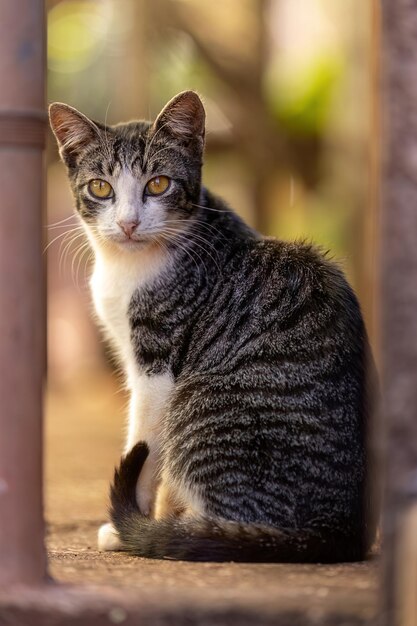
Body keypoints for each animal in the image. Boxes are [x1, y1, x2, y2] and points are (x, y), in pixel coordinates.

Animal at [49, 91, 376, 560]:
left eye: (158, 184)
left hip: (199, 400)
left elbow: (145, 448)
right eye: (100, 188)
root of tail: (338, 530)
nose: (128, 223)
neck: (127, 267)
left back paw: (186, 530)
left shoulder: (157, 369)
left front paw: (135, 525)